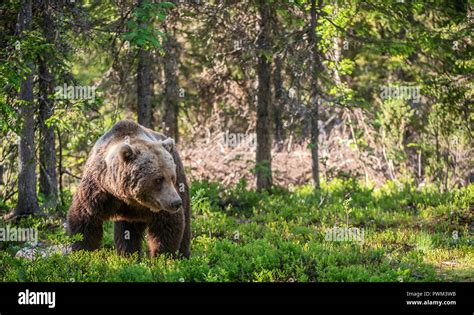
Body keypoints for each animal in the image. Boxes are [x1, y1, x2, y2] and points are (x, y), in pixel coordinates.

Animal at [66, 119, 191, 258]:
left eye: (172, 177)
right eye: (159, 179)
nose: (176, 203)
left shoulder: (161, 202)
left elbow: (168, 224)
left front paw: (162, 256)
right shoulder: (98, 191)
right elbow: (84, 220)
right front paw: (83, 253)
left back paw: (184, 254)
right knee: (127, 231)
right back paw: (128, 255)